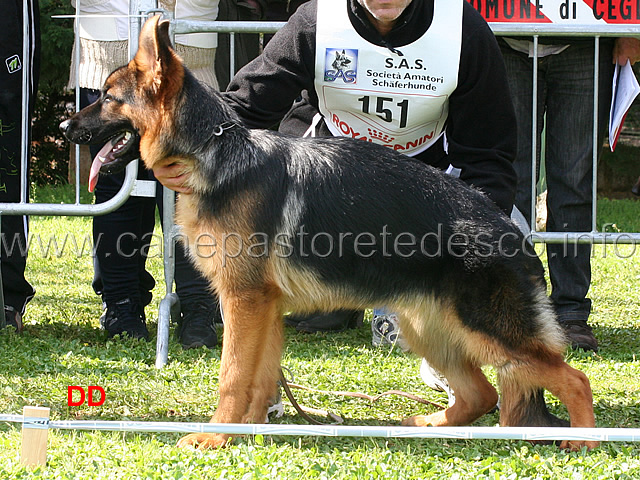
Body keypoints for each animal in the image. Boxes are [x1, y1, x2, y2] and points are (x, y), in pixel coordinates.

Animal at [58, 15, 596, 450]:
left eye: (108, 98)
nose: (64, 128)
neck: (212, 153)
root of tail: (511, 230)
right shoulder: (264, 308)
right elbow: (259, 378)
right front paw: (251, 431)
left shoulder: (244, 302)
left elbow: (232, 377)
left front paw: (215, 436)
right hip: (429, 329)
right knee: (482, 393)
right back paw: (430, 424)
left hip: (487, 330)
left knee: (573, 378)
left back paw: (584, 442)